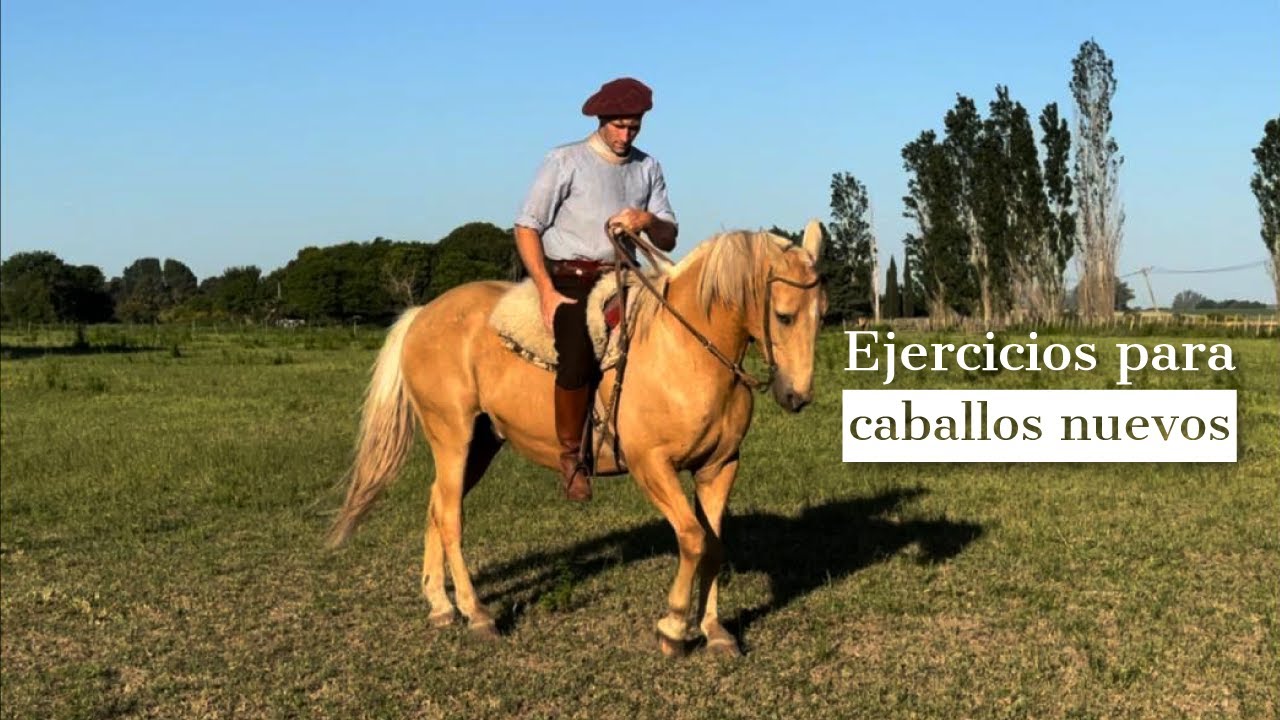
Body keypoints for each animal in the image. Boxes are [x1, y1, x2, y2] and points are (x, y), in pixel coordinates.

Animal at [328, 220, 826, 656]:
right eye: (783, 316)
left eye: (820, 315)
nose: (796, 395)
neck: (685, 351)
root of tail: (421, 315)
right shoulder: (651, 465)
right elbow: (691, 538)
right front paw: (672, 627)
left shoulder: (720, 467)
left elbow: (714, 545)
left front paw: (715, 631)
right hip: (451, 434)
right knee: (450, 516)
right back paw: (477, 614)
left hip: (480, 443)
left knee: (436, 503)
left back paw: (440, 606)